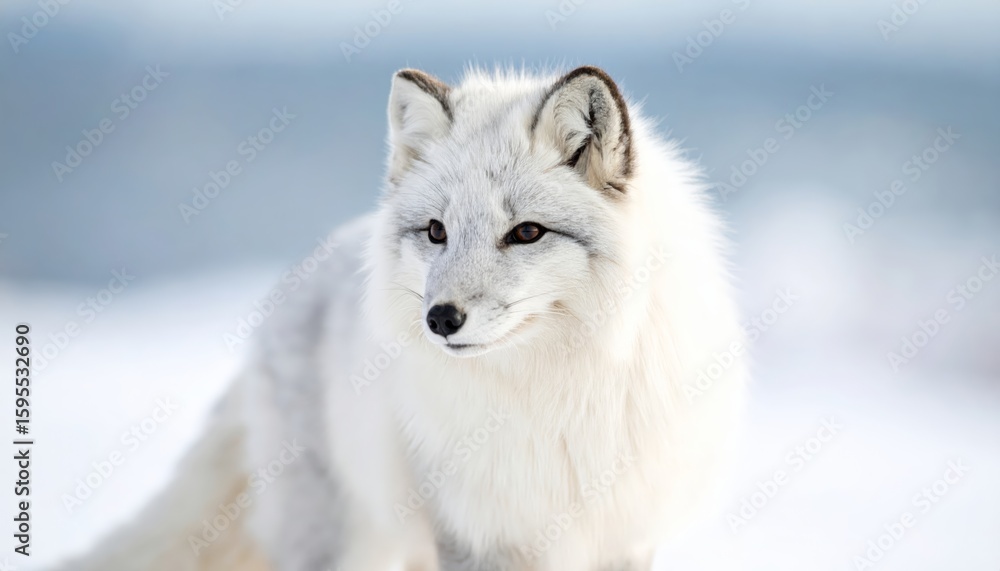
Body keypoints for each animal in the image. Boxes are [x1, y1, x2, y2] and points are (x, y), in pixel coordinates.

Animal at [56, 65, 747, 571]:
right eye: (437, 231)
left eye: (526, 232)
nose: (440, 319)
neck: (550, 399)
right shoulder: (471, 531)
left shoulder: (623, 535)